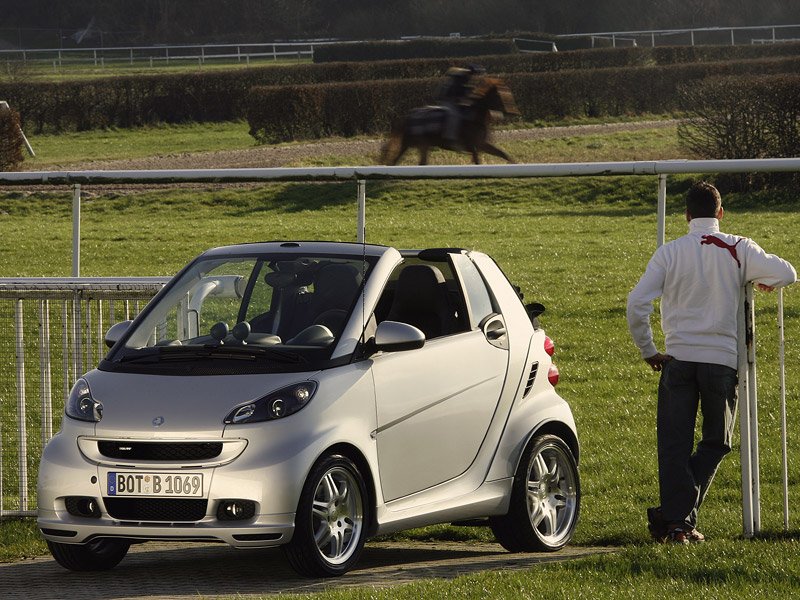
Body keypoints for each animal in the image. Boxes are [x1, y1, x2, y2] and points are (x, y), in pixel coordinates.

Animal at [380, 78, 520, 166]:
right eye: (499, 96)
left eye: (508, 93)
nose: (514, 112)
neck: (474, 117)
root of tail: (407, 117)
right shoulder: (473, 145)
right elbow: (477, 161)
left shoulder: (482, 144)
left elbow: (502, 154)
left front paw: (515, 163)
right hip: (415, 143)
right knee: (399, 161)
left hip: (420, 145)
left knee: (416, 162)